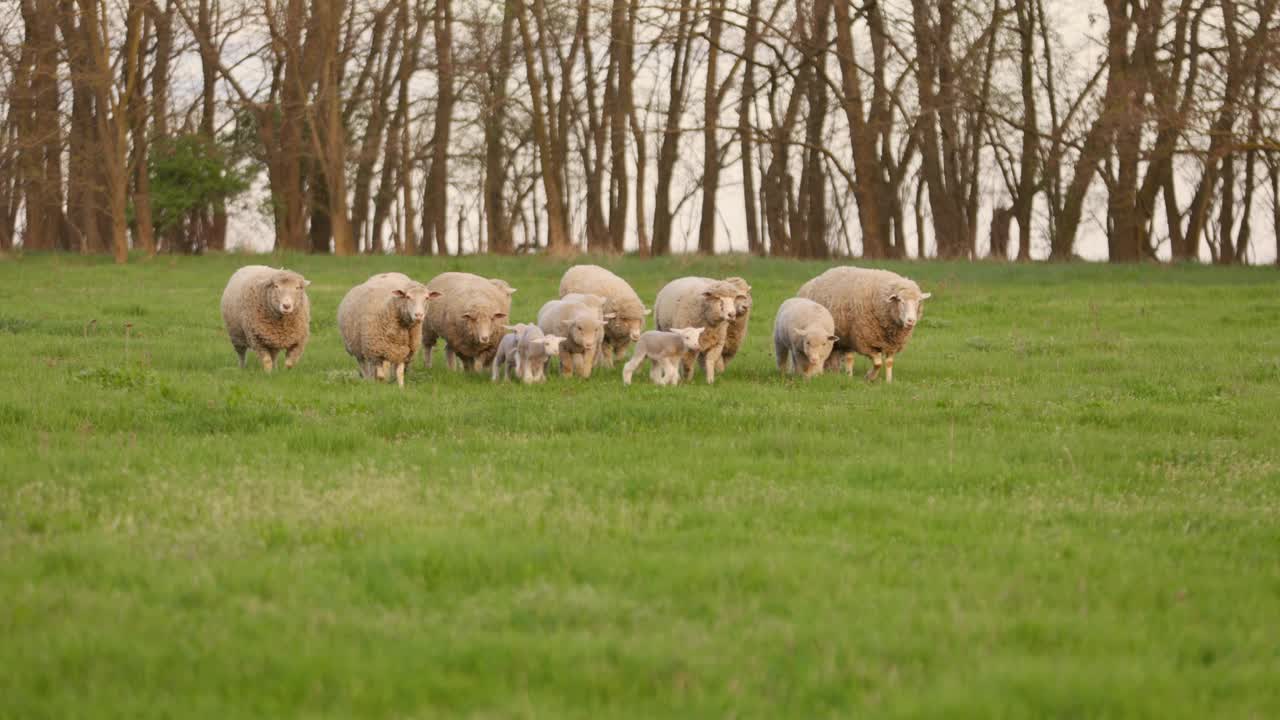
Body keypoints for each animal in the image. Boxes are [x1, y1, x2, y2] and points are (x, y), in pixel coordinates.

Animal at [798, 265, 931, 381]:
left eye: (919, 301)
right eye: (900, 300)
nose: (911, 320)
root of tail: (808, 283)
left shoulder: (892, 344)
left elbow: (889, 362)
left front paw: (888, 381)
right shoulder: (865, 341)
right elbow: (878, 363)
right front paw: (869, 377)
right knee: (846, 357)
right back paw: (846, 375)